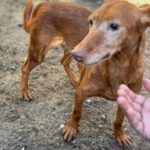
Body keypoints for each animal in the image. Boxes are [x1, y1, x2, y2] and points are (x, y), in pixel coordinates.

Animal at [62, 0, 150, 147]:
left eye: (114, 26)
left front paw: (120, 135)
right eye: (90, 22)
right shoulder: (80, 93)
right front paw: (71, 127)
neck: (117, 67)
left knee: (64, 61)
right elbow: (76, 112)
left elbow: (119, 120)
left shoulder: (126, 100)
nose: (76, 54)